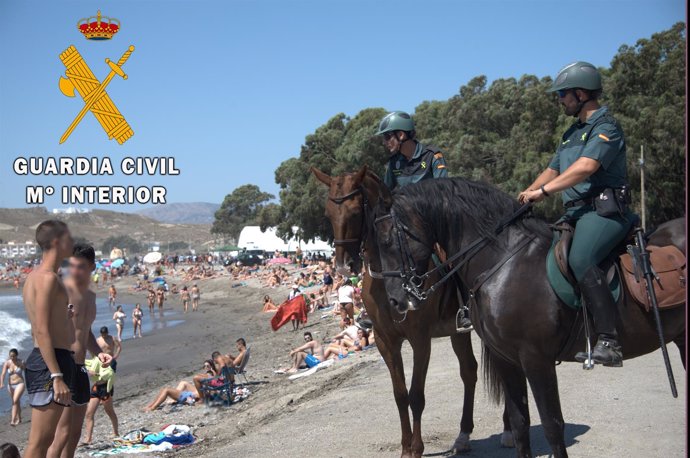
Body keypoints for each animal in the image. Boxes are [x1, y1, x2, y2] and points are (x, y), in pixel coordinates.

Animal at [312, 167, 510, 458]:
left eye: (355, 212)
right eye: (328, 214)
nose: (343, 266)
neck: (390, 275)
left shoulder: (420, 339)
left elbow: (416, 396)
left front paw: (416, 448)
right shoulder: (386, 341)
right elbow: (400, 395)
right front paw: (406, 447)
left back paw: (508, 429)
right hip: (457, 333)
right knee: (469, 371)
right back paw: (463, 435)